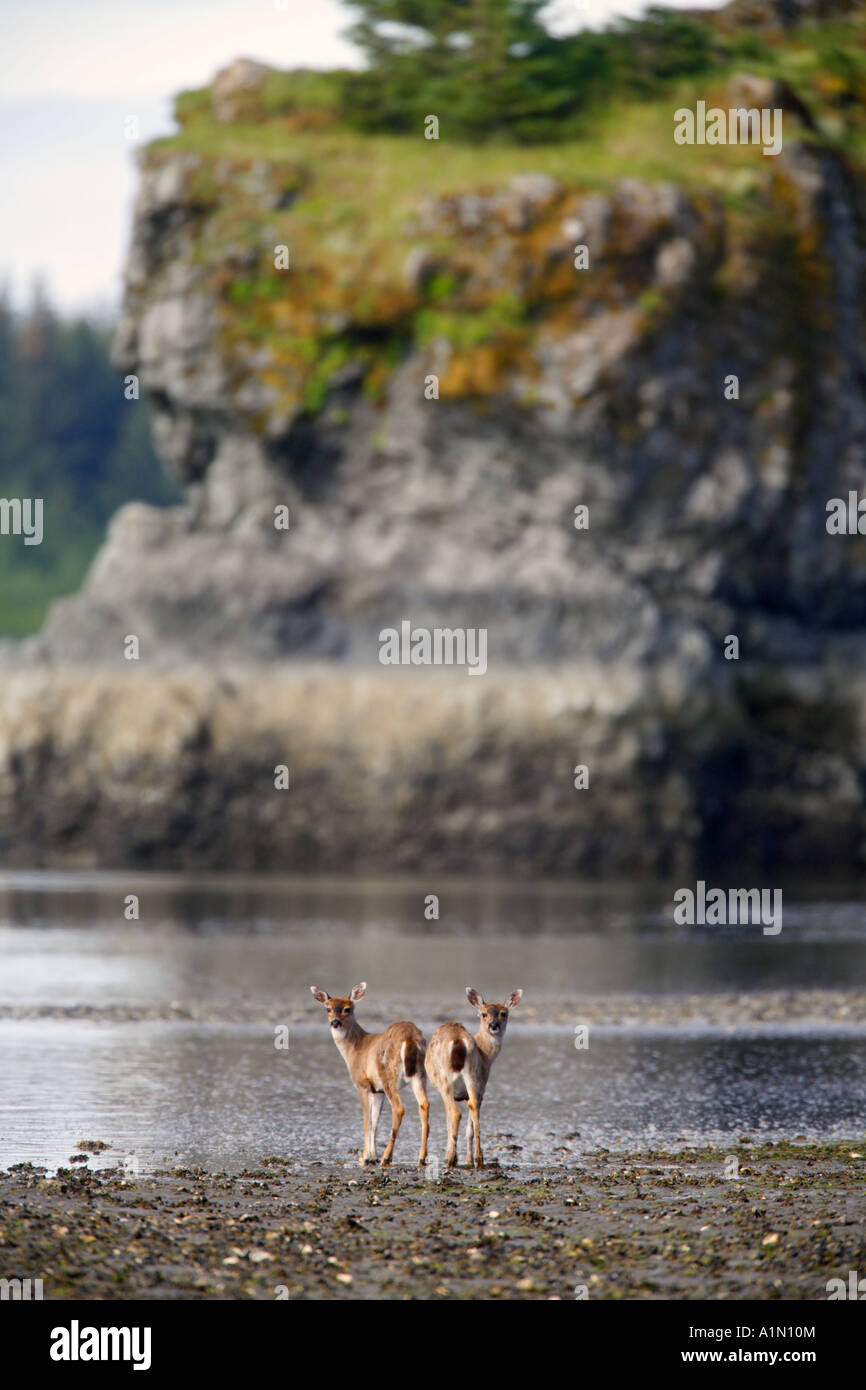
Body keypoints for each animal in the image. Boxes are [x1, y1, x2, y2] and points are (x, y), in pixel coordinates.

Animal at [310, 982, 429, 1167]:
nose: (335, 1022)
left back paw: (387, 1157)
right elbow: (375, 1122)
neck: (355, 1049)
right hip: (419, 1074)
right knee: (424, 1105)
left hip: (388, 1075)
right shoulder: (377, 1090)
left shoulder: (362, 1084)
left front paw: (365, 1156)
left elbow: (367, 1120)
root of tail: (410, 1039)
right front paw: (372, 1156)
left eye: (347, 1009)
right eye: (327, 1008)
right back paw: (421, 1157)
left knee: (399, 1108)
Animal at [425, 987, 522, 1168]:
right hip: (473, 1077)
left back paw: (450, 1159)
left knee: (455, 1113)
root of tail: (458, 1041)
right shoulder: (481, 1085)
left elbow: (449, 1123)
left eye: (503, 1013)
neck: (485, 1055)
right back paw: (478, 1159)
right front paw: (468, 1159)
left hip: (445, 1080)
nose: (493, 1025)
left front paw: (456, 1156)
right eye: (483, 1014)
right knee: (473, 1106)